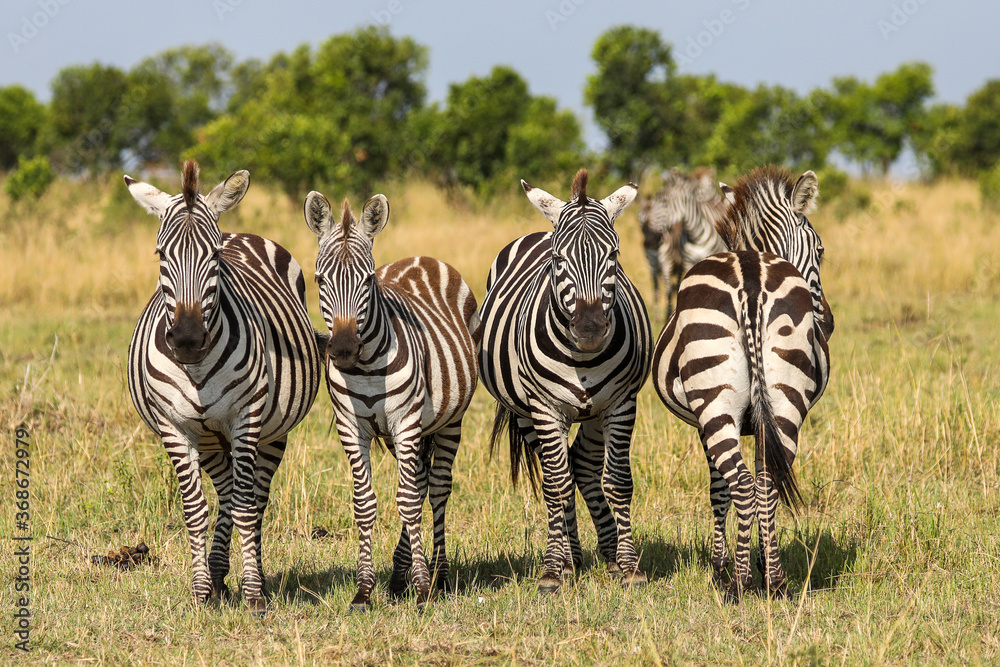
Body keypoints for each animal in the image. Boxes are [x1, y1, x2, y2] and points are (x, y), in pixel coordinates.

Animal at [126, 160, 321, 614]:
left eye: (214, 256)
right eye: (161, 255)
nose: (187, 339)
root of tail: (241, 233)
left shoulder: (245, 418)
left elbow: (248, 507)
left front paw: (254, 595)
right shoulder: (174, 428)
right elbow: (195, 509)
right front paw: (201, 591)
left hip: (270, 432)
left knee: (254, 497)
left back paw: (252, 577)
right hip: (211, 440)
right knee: (228, 492)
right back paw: (217, 577)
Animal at [303, 191, 480, 611]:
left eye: (368, 280)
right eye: (319, 279)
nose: (343, 349)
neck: (367, 367)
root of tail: (422, 257)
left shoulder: (406, 422)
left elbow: (410, 501)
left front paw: (423, 588)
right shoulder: (351, 428)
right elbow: (365, 503)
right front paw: (365, 591)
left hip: (449, 422)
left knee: (436, 489)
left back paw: (439, 575)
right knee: (419, 483)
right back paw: (400, 577)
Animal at [479, 169, 653, 593]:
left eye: (614, 256)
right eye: (558, 260)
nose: (589, 331)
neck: (583, 358)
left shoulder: (621, 404)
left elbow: (618, 481)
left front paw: (629, 566)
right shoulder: (545, 408)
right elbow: (556, 486)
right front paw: (552, 572)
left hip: (595, 413)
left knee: (581, 465)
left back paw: (603, 553)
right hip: (525, 414)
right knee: (557, 477)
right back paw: (569, 558)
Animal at [650, 165, 835, 601]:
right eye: (820, 250)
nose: (830, 323)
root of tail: (751, 277)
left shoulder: (705, 422)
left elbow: (717, 490)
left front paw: (722, 568)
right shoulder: (758, 421)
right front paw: (761, 562)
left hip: (715, 405)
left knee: (743, 486)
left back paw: (736, 582)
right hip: (785, 403)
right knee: (766, 485)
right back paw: (776, 581)